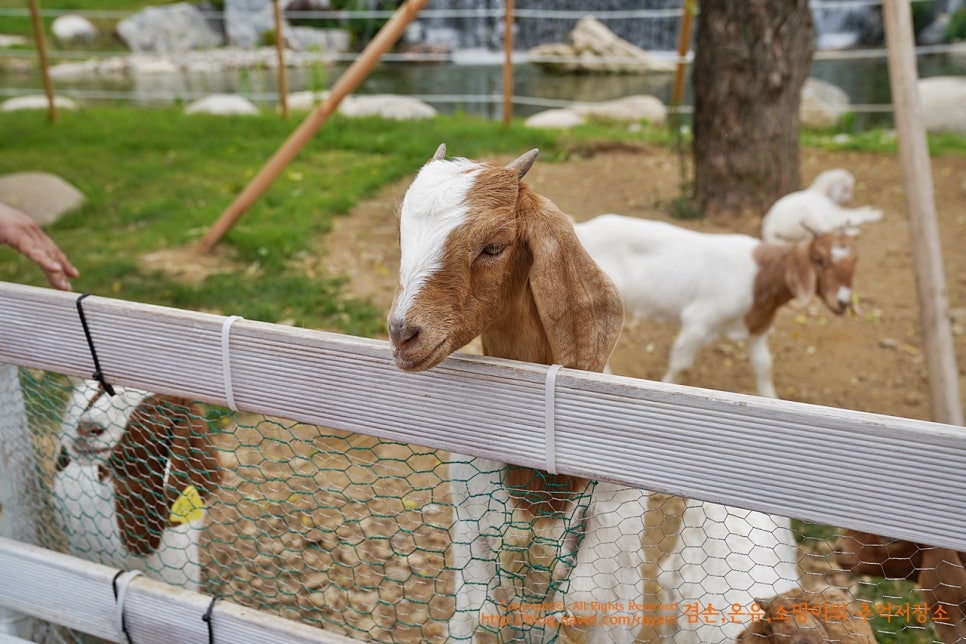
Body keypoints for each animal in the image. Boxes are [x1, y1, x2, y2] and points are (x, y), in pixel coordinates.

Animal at [572, 214, 860, 400]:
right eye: (819, 259)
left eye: (854, 262)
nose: (842, 302)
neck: (760, 276)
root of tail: (581, 228)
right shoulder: (699, 321)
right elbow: (681, 363)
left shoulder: (757, 328)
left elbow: (763, 365)